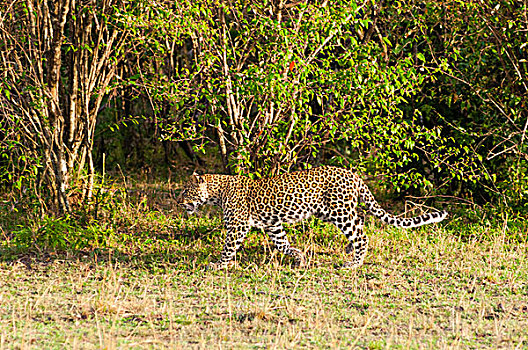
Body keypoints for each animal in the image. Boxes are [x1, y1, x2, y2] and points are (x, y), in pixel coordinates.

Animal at [179, 165, 448, 270]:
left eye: (186, 191)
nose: (179, 202)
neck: (217, 193)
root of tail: (354, 175)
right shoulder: (273, 224)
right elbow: (282, 243)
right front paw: (299, 258)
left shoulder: (237, 226)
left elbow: (228, 248)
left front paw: (217, 264)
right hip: (329, 211)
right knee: (359, 224)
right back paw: (349, 251)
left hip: (340, 211)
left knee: (361, 233)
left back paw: (354, 263)